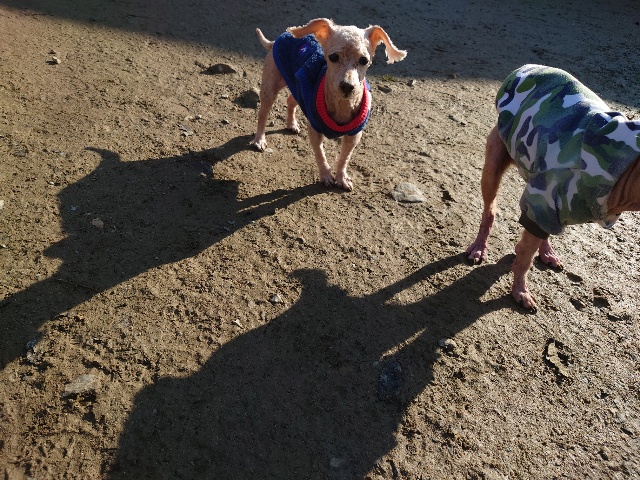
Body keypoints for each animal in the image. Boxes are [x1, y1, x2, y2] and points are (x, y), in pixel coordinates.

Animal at [251, 18, 407, 191]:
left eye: (364, 60)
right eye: (333, 57)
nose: (347, 86)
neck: (342, 104)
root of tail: (278, 39)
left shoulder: (354, 135)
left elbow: (344, 158)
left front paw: (342, 177)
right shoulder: (314, 130)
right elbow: (320, 154)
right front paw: (326, 175)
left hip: (298, 87)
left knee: (290, 100)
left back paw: (291, 124)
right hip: (270, 88)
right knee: (262, 115)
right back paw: (259, 140)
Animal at [466, 64, 640, 312]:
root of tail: (526, 68)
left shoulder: (546, 206)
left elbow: (531, 243)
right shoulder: (543, 203)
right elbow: (525, 259)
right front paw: (520, 291)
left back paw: (546, 251)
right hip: (494, 167)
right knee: (489, 210)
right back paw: (479, 246)